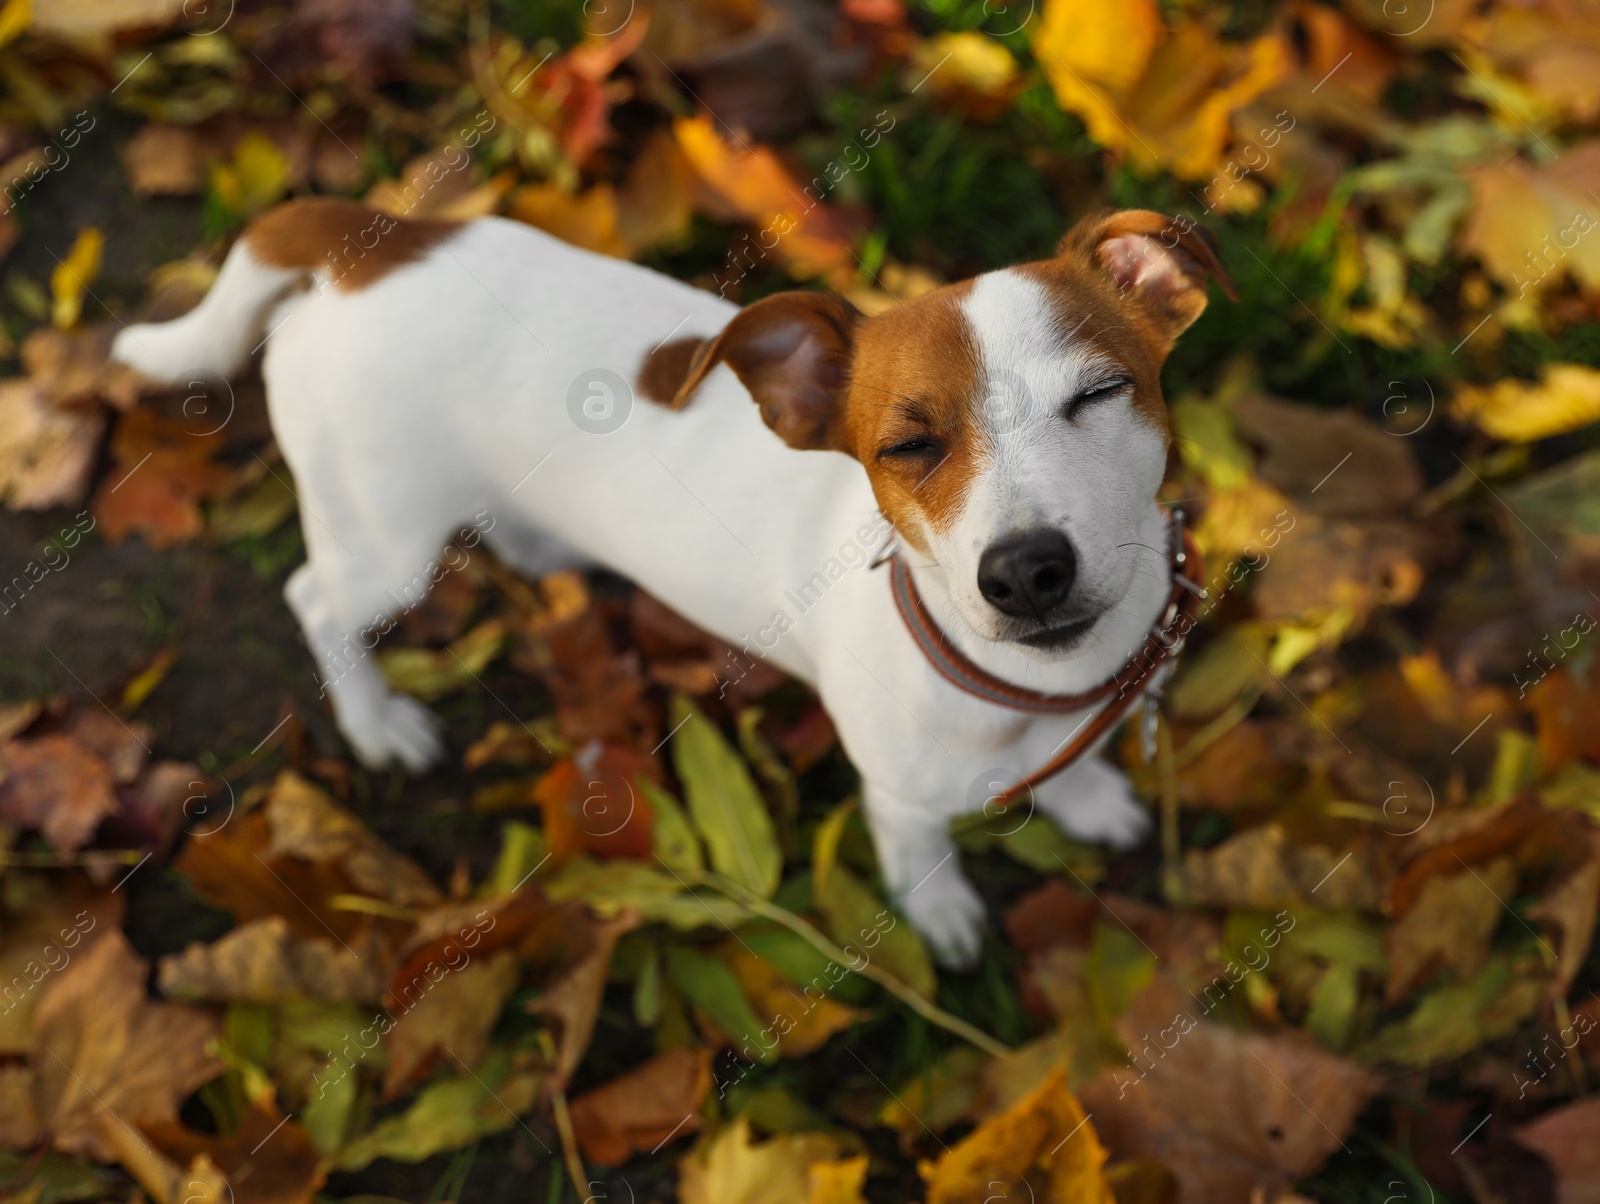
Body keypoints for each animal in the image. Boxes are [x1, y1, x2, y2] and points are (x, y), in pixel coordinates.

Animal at [116, 200, 1235, 967]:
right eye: (908, 447)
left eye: (1099, 392)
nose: (1026, 571)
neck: (1032, 689)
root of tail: (369, 240)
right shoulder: (900, 797)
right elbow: (922, 858)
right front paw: (942, 915)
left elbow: (1077, 763)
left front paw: (1085, 795)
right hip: (383, 539)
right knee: (316, 599)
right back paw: (375, 718)